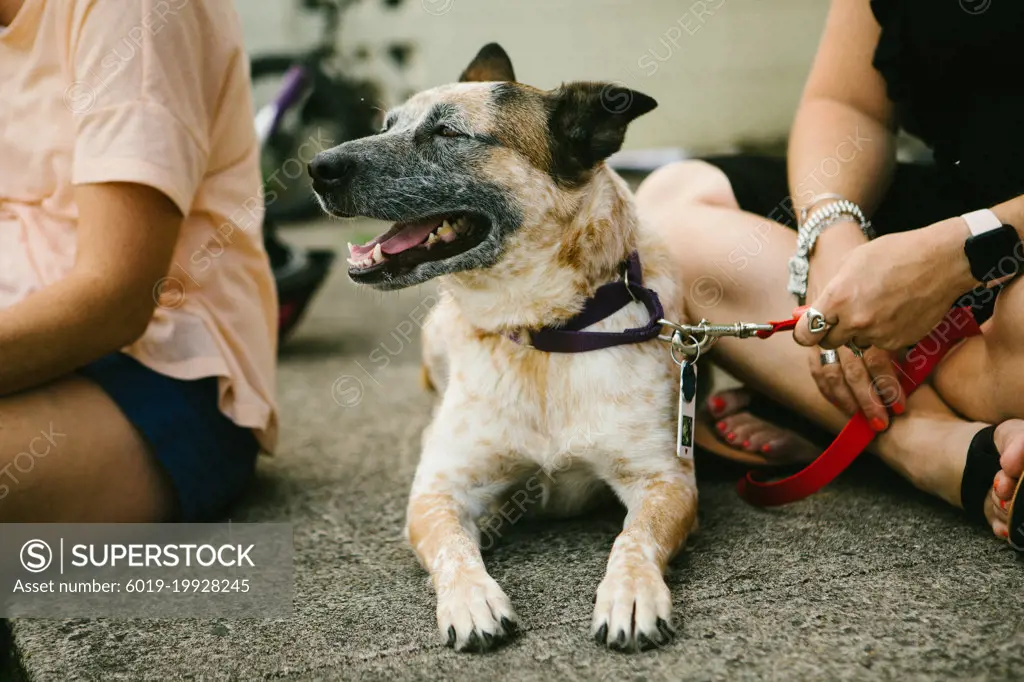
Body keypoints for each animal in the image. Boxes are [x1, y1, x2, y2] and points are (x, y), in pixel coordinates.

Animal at [309, 43, 696, 655]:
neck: (540, 333)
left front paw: (631, 594)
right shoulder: (438, 491)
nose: (317, 167)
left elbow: (633, 539)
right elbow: (453, 546)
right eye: (387, 126)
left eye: (447, 132)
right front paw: (472, 601)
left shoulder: (666, 481)